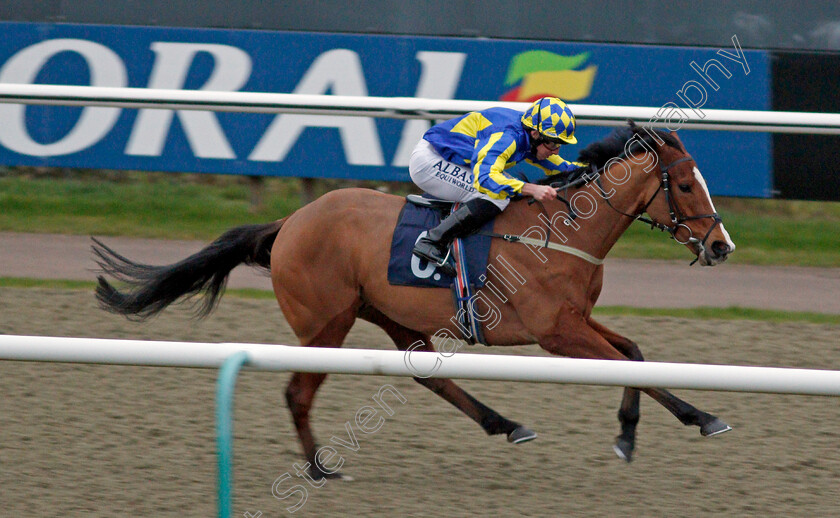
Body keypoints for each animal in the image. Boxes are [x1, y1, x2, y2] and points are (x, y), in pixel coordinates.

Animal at [93, 121, 736, 476]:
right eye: (684, 185)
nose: (721, 246)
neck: (563, 230)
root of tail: (290, 222)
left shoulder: (577, 319)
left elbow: (635, 355)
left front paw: (691, 418)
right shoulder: (555, 332)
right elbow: (624, 365)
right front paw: (641, 433)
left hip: (389, 314)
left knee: (429, 376)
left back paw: (505, 424)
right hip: (326, 323)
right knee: (298, 392)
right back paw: (319, 469)